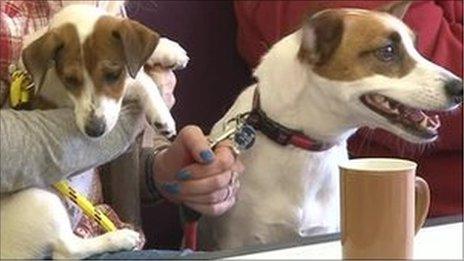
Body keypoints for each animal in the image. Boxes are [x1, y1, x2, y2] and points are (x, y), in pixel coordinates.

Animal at [0, 5, 188, 258]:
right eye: (70, 79)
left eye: (112, 74)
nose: (95, 130)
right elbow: (140, 81)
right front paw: (161, 114)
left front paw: (169, 50)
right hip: (40, 201)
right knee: (69, 251)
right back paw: (119, 238)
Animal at [198, 2, 462, 250]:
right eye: (387, 51)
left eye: (416, 47)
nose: (460, 88)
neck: (301, 143)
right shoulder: (237, 240)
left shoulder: (324, 230)